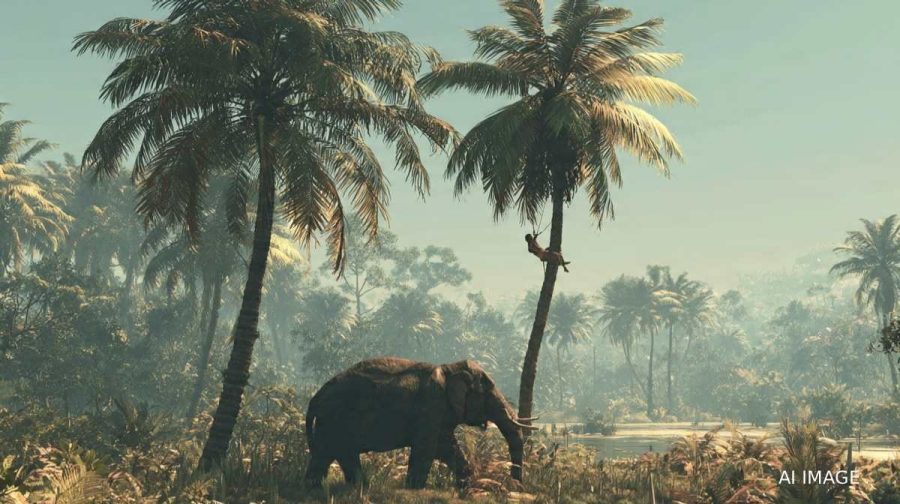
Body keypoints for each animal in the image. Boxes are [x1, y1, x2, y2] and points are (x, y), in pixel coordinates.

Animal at [303, 357, 537, 489]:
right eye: (488, 390)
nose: (516, 487)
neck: (448, 368)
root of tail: (316, 397)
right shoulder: (431, 406)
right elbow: (427, 448)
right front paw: (414, 489)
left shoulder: (439, 414)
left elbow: (446, 447)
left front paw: (467, 487)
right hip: (334, 419)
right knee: (332, 452)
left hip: (331, 422)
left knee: (334, 454)